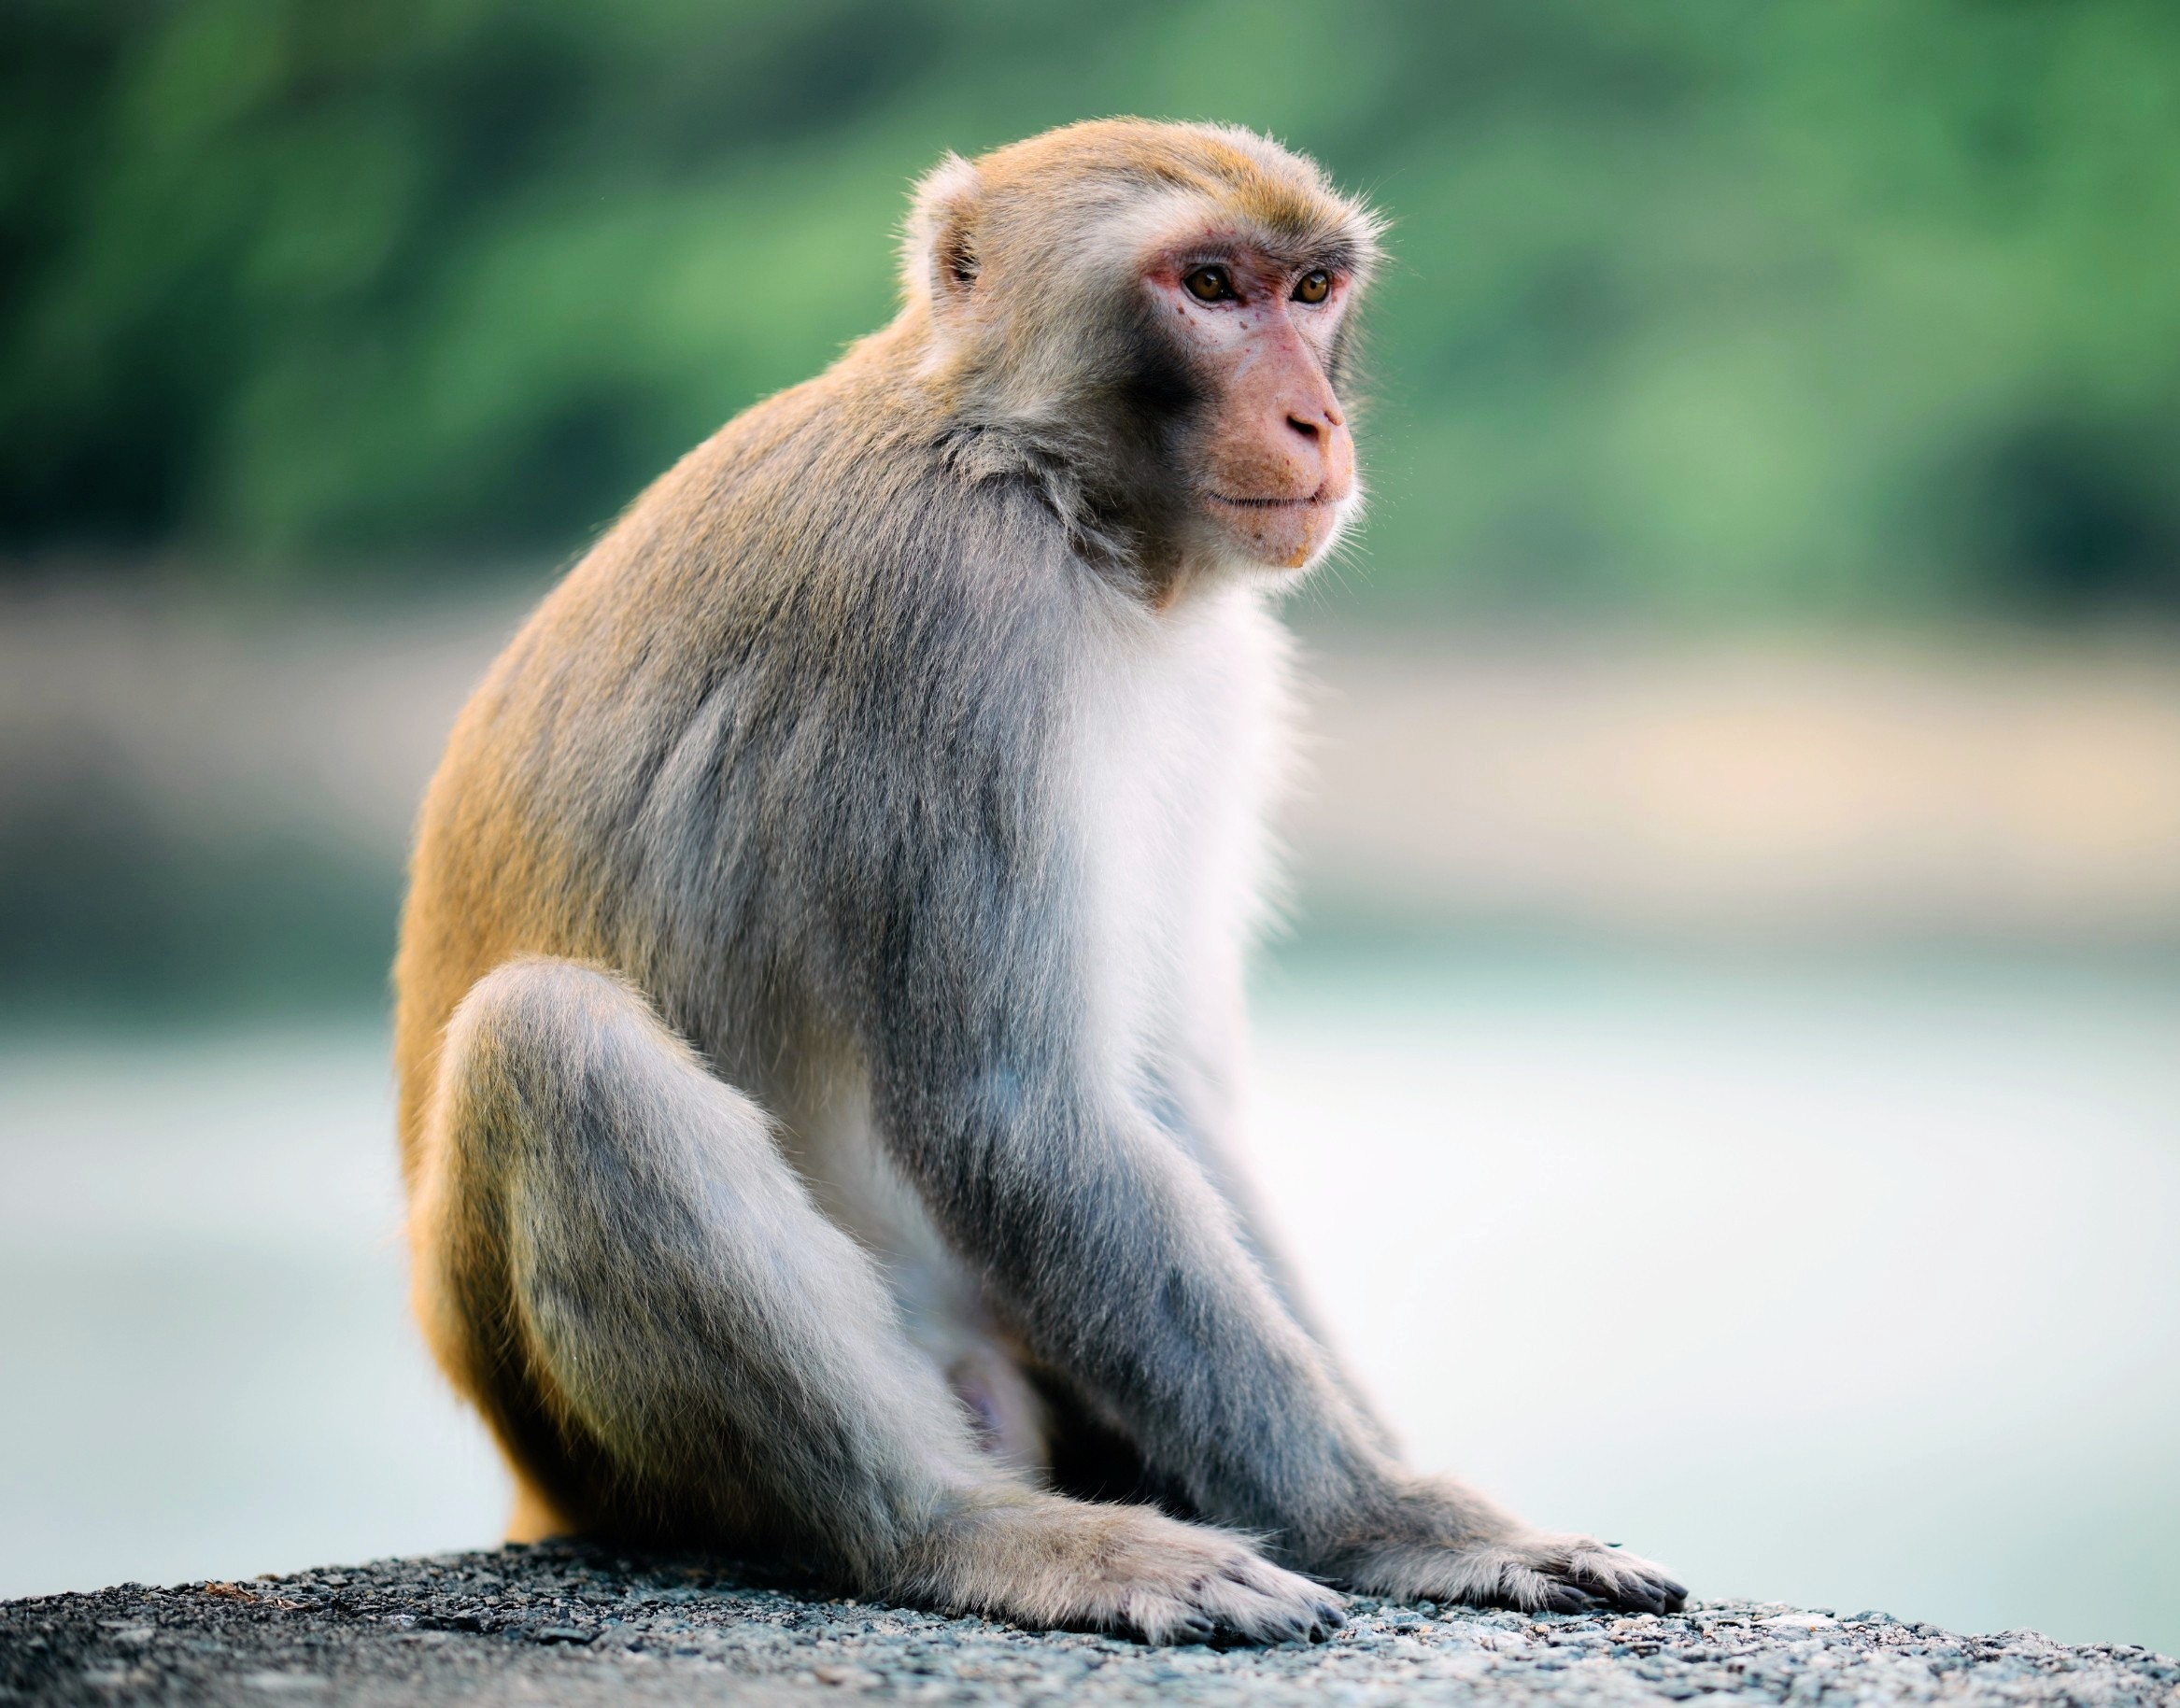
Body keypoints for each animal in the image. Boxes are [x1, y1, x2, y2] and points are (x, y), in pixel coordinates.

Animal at [393, 118, 1686, 1644]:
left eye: (1310, 290)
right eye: (1208, 286)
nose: (1316, 421)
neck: (1037, 476)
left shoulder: (1213, 666)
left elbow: (1164, 1088)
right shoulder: (953, 614)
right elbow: (1012, 1114)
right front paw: (1389, 1516)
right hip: (580, 1432)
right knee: (554, 1040)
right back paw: (961, 1530)